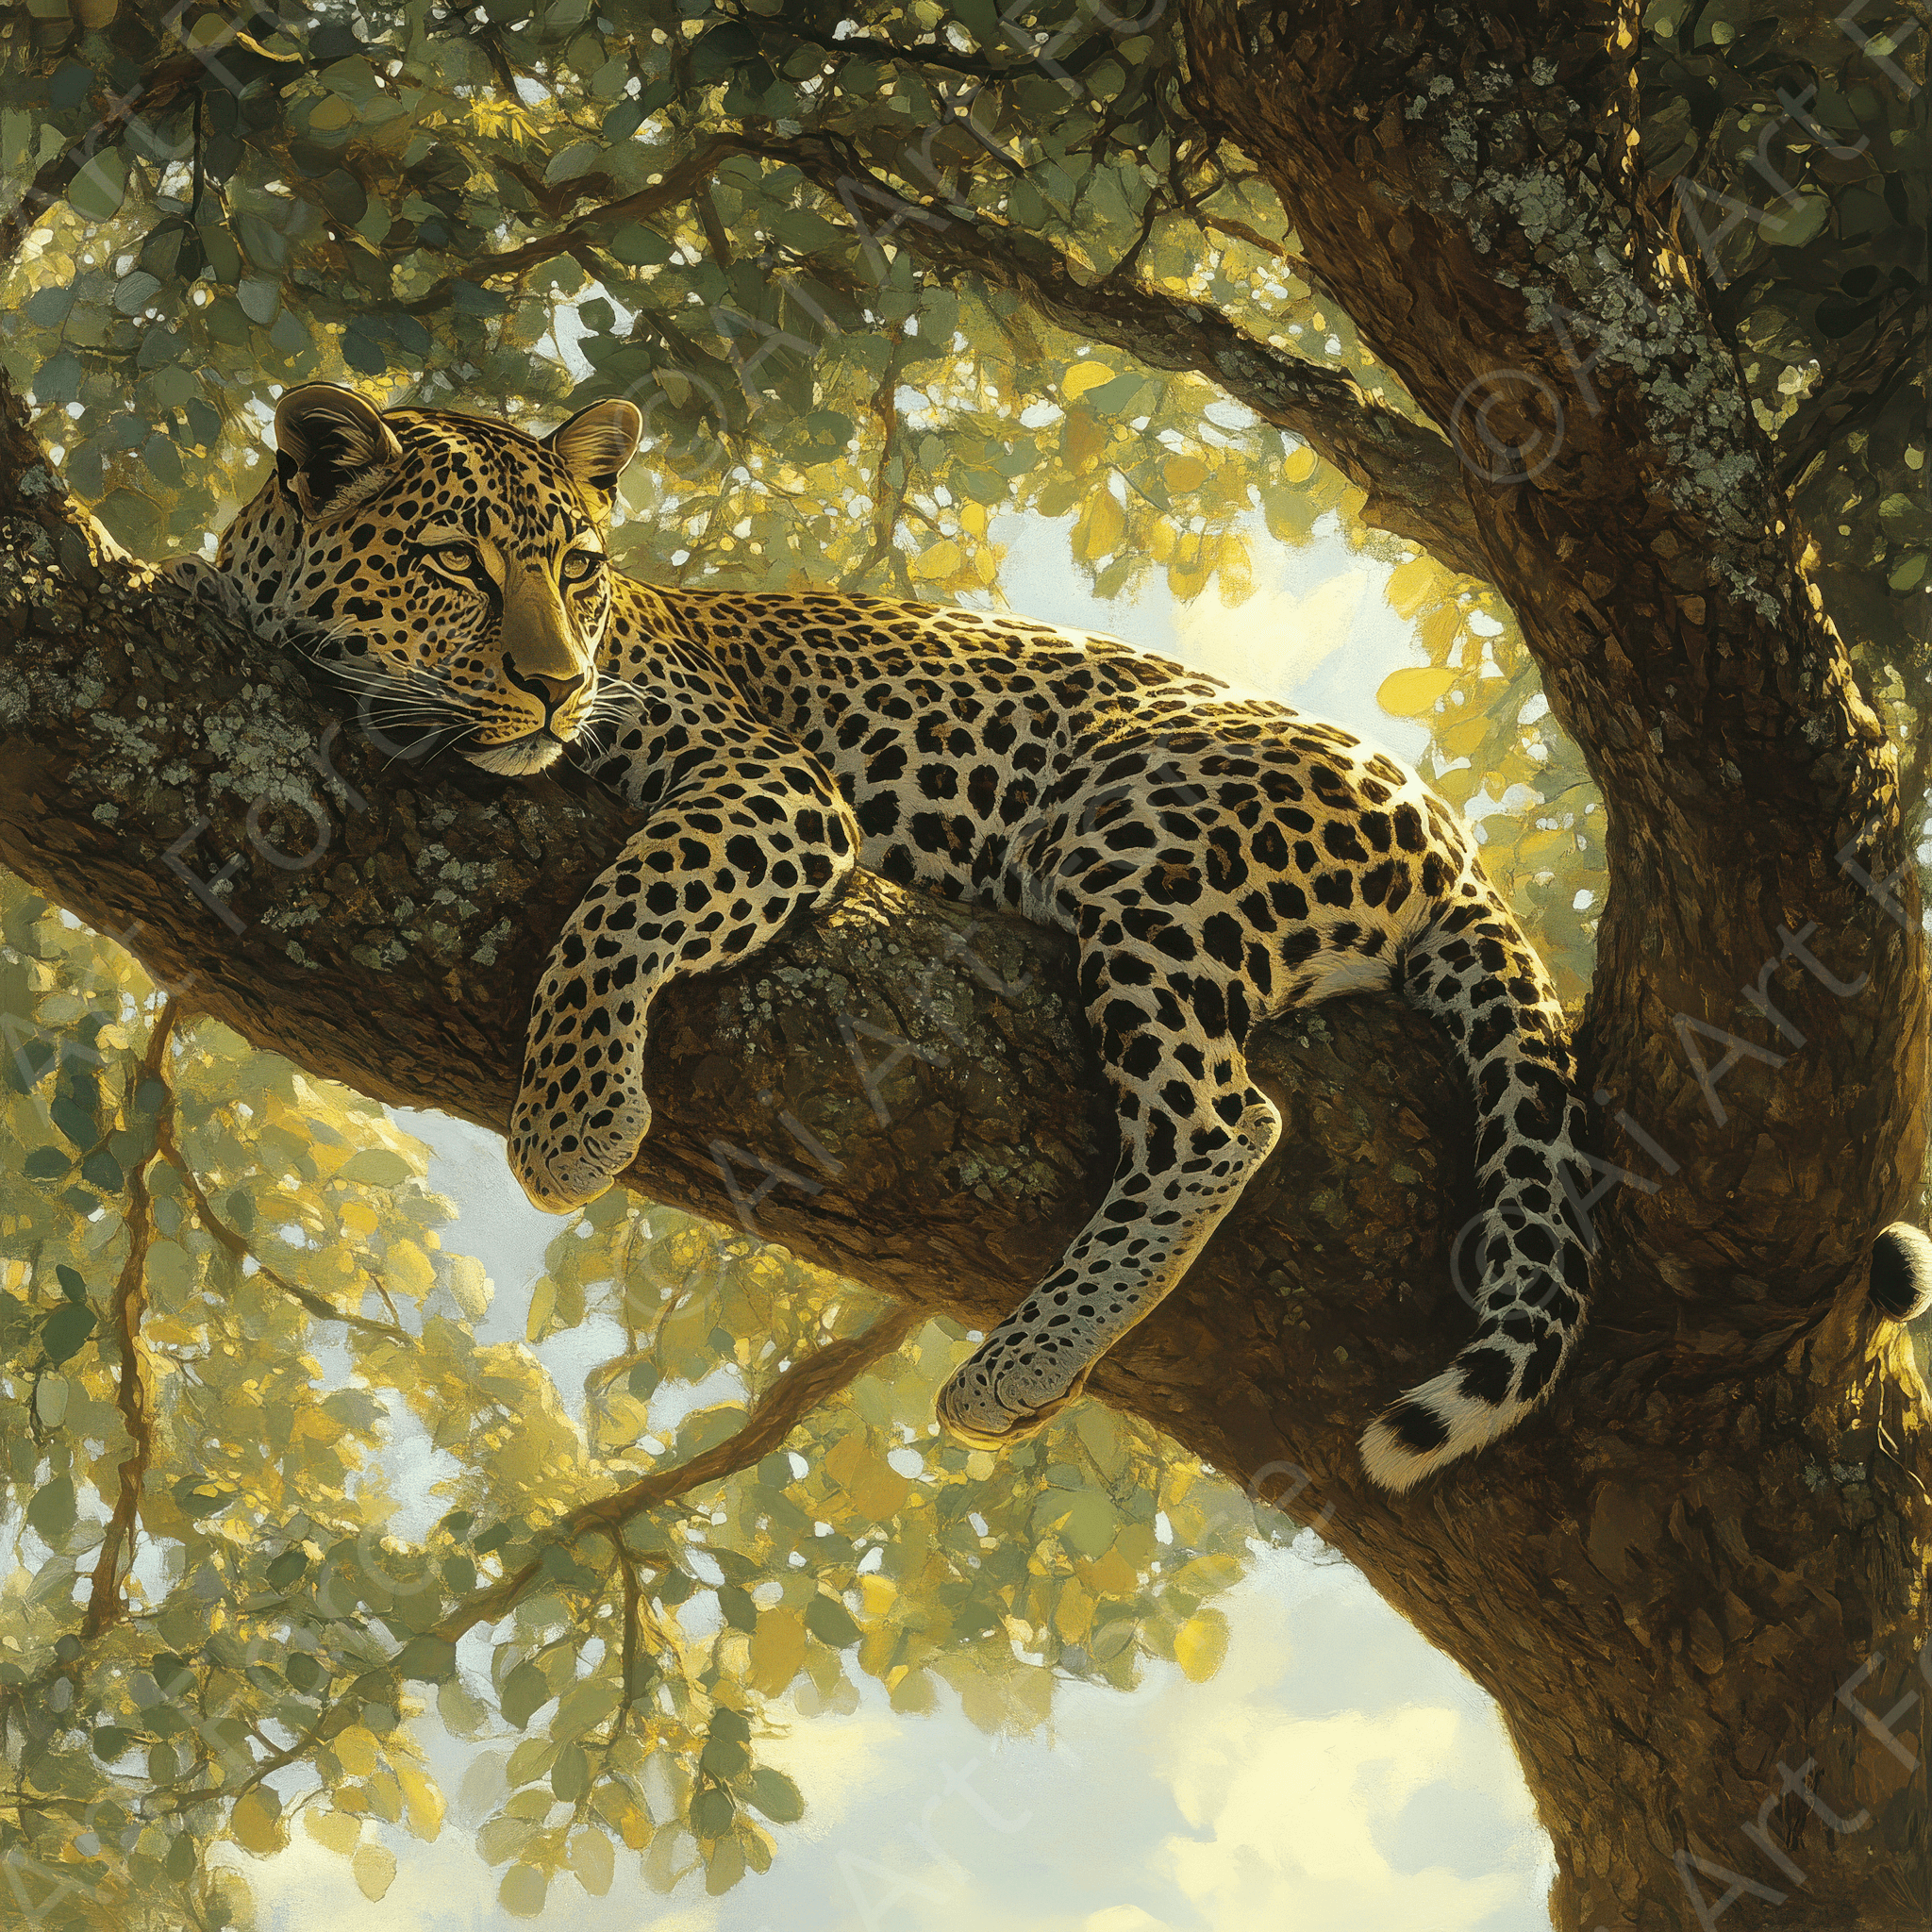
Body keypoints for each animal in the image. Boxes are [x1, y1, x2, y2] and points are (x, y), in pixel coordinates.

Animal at [171, 380, 1603, 1495]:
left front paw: (573, 1123)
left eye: (578, 569)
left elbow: (622, 901)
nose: (559, 683)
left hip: (1146, 851)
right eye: (455, 564)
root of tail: (1445, 825)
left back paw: (1016, 1365)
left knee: (1219, 1121)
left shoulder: (777, 782)